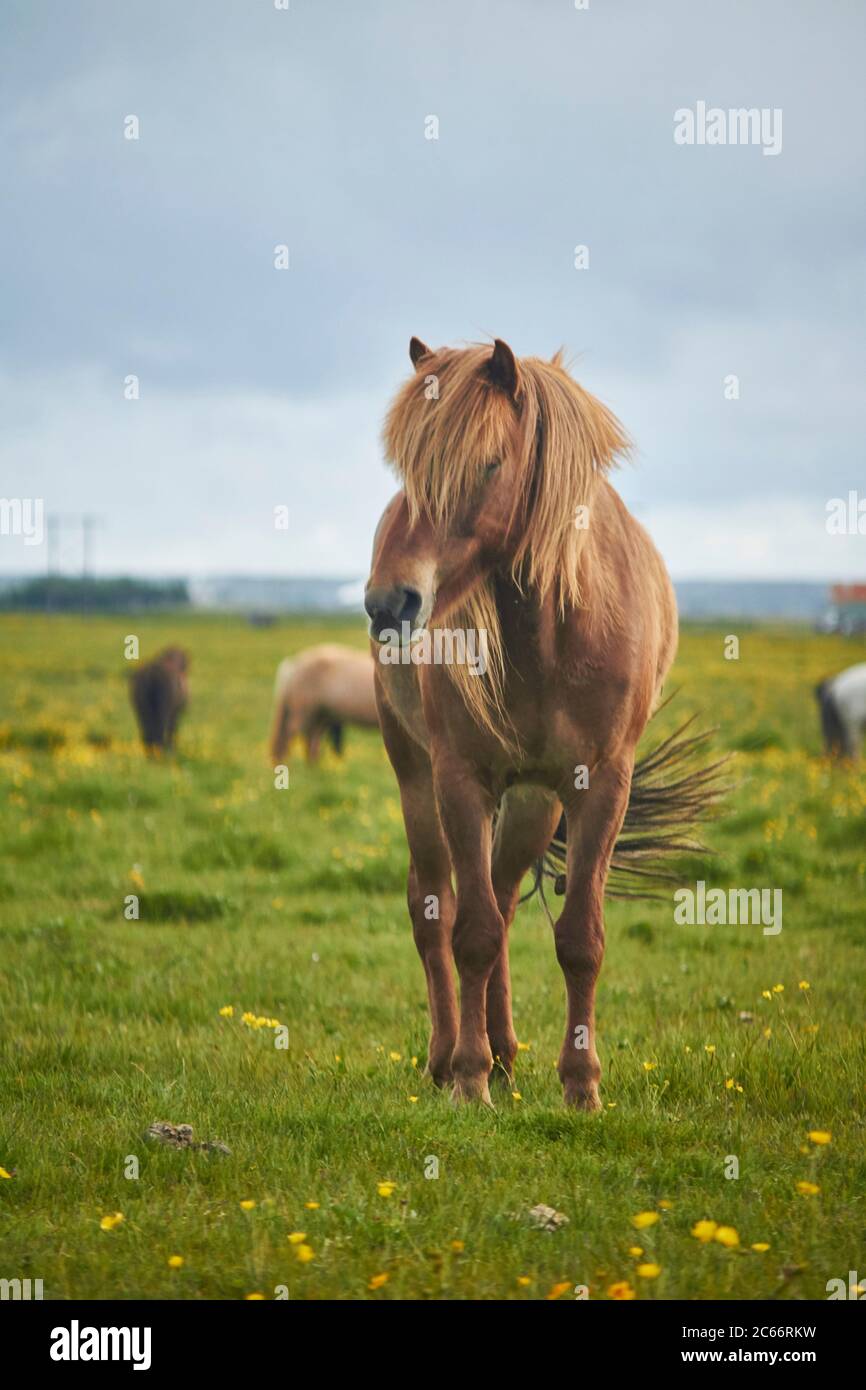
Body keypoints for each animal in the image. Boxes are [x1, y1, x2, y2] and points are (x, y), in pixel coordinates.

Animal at [365, 337, 721, 1109]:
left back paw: (503, 1052)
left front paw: (581, 1086)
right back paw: (448, 1057)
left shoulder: (598, 785)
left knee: (502, 900)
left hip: (532, 801)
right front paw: (468, 1082)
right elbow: (468, 932)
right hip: (415, 777)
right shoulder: (460, 779)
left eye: (489, 464)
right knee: (435, 907)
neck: (553, 630)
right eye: (405, 467)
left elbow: (577, 938)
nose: (388, 603)